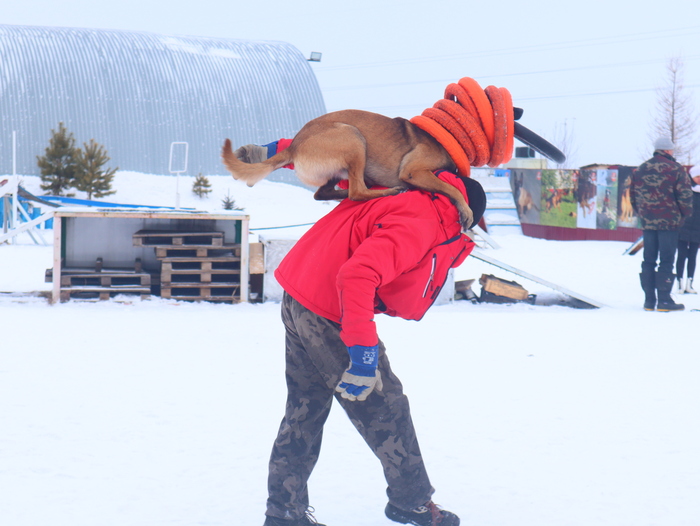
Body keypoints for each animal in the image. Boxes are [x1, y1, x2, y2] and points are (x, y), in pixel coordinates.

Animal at [221, 109, 474, 229]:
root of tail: (294, 145)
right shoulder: (415, 171)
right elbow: (454, 189)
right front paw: (466, 210)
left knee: (324, 193)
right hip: (353, 137)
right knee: (357, 191)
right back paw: (388, 191)